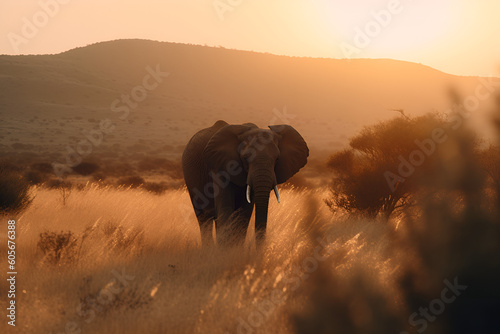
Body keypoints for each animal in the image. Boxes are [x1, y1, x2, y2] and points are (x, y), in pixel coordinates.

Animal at [182, 120, 306, 248]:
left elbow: (244, 212)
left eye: (277, 159)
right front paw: (224, 251)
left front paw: (235, 249)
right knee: (204, 219)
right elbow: (225, 207)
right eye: (245, 158)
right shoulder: (219, 166)